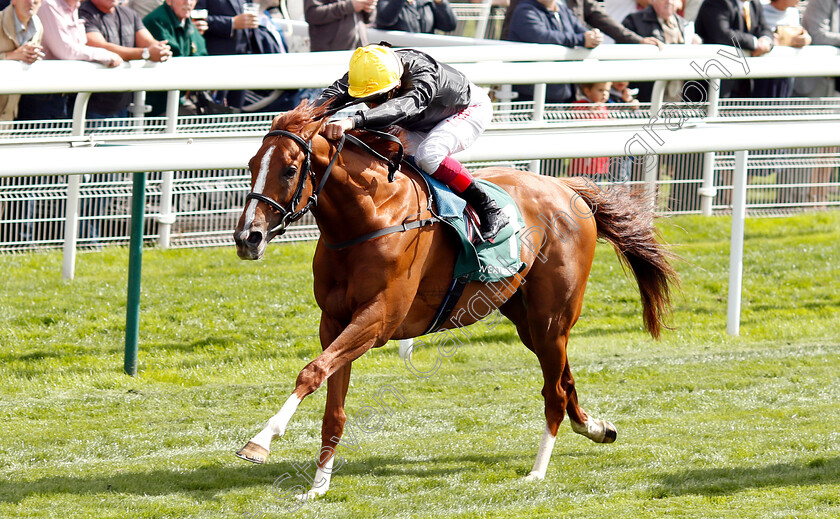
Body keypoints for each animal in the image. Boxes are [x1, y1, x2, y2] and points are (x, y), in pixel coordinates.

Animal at [233, 102, 680, 500]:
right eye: (252, 165)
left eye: (290, 169)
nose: (247, 237)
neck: (369, 218)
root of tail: (565, 187)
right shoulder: (334, 321)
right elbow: (332, 403)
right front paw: (318, 486)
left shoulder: (378, 320)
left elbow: (311, 372)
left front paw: (260, 441)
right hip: (526, 319)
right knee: (564, 380)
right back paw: (596, 428)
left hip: (552, 316)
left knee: (554, 392)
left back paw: (537, 471)